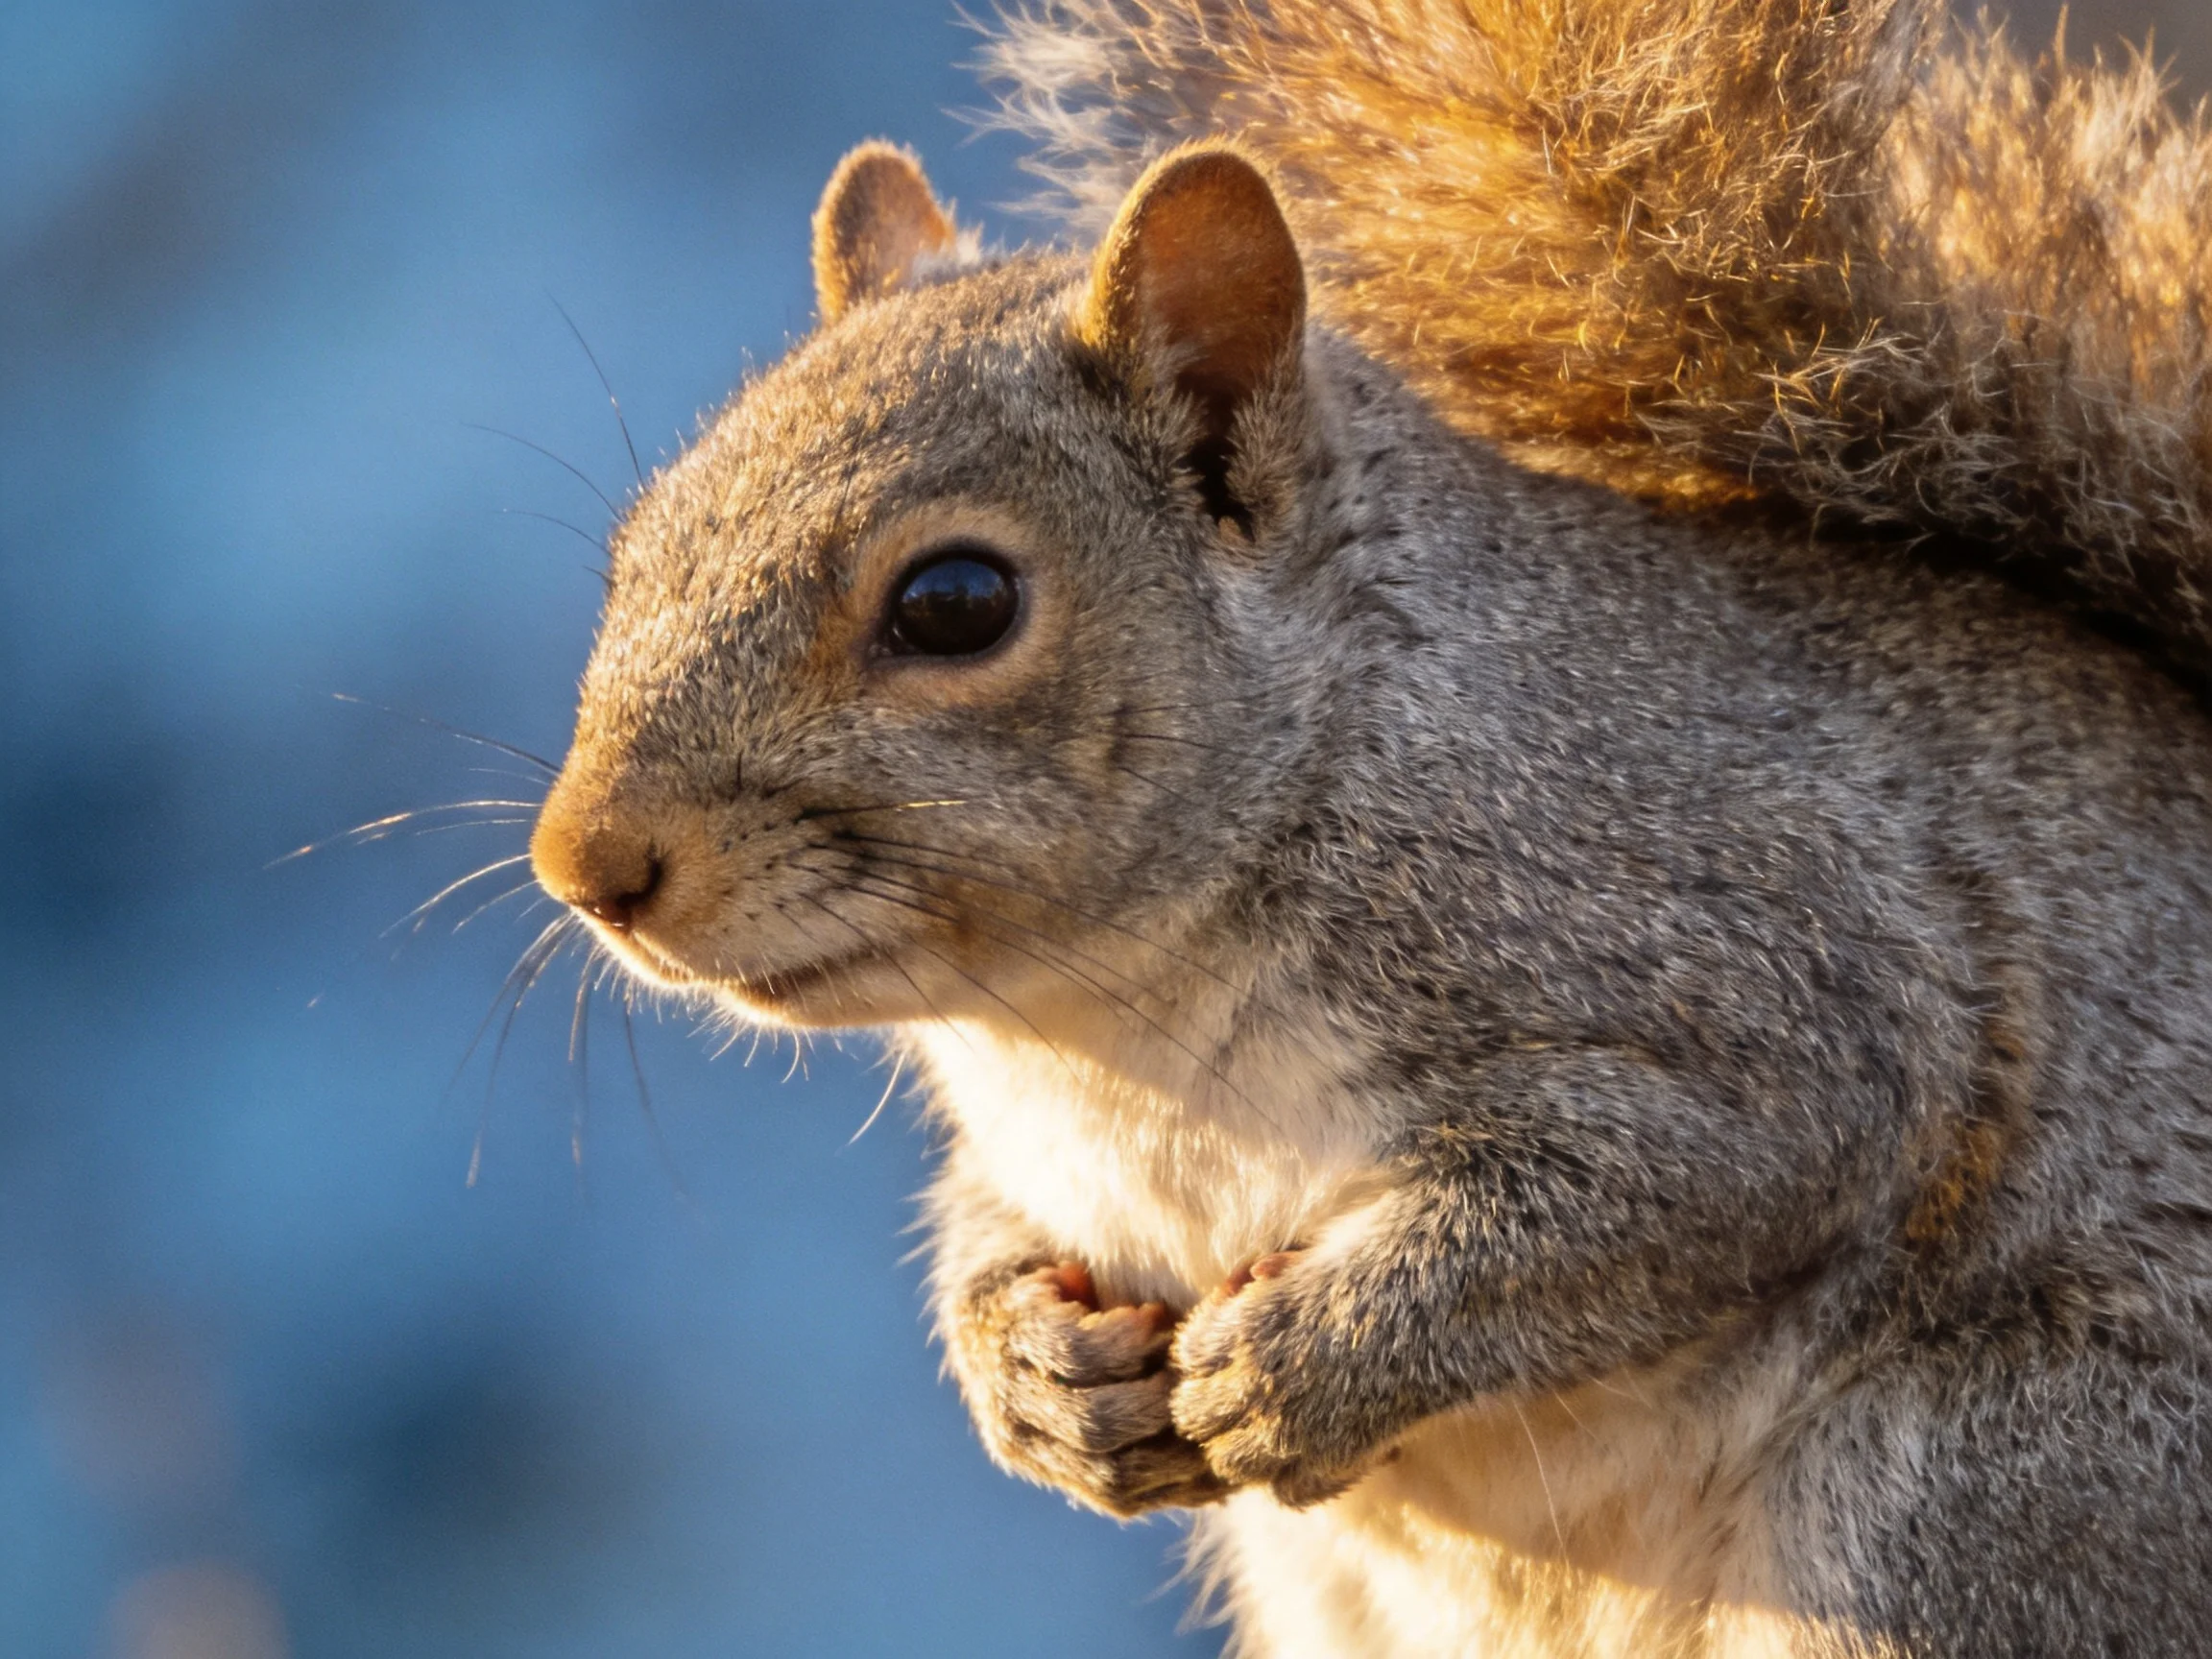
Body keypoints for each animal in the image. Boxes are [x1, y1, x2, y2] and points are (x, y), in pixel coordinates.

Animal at [525, 1, 2212, 1654]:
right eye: (637, 545)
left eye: (955, 603)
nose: (585, 868)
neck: (1094, 1027)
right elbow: (986, 1235)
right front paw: (1032, 1379)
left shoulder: (1769, 975)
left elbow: (1682, 1183)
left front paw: (1295, 1368)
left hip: (1960, 1500)